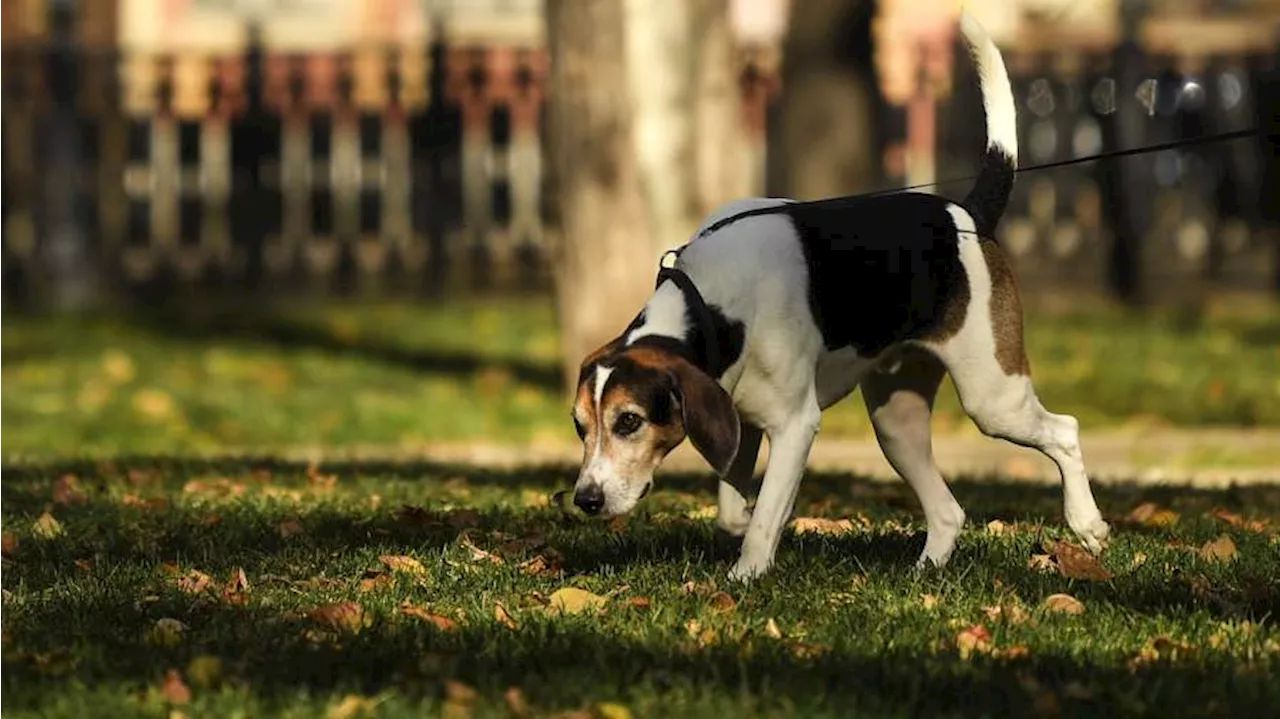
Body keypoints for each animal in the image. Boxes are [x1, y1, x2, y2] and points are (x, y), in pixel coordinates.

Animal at [570, 12, 1111, 583]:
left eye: (629, 421)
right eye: (581, 427)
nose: (585, 499)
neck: (714, 307)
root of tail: (963, 215)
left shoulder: (795, 425)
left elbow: (764, 515)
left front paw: (746, 574)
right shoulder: (737, 417)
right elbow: (735, 508)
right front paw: (748, 528)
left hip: (993, 399)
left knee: (1065, 431)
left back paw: (1087, 523)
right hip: (896, 424)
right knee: (948, 511)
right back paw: (925, 573)